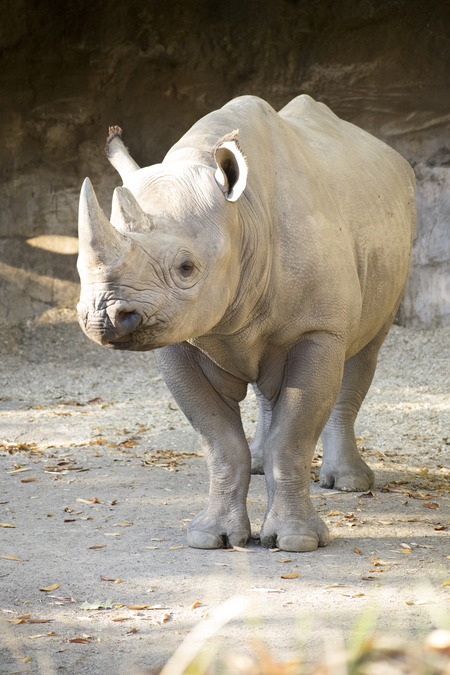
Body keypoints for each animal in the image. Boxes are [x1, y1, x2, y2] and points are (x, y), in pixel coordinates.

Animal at [77, 94, 416, 553]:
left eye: (186, 268)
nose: (103, 318)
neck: (240, 219)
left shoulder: (318, 329)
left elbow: (292, 439)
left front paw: (295, 541)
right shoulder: (181, 340)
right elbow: (221, 444)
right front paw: (211, 537)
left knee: (363, 352)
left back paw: (349, 483)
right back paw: (259, 462)